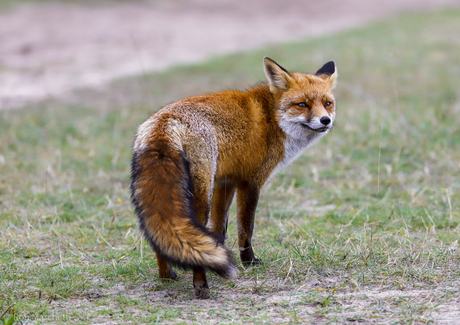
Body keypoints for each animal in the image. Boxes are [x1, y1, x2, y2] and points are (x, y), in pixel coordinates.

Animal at [130, 57, 338, 296]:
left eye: (327, 103)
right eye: (302, 104)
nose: (325, 120)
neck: (272, 117)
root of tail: (165, 122)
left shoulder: (226, 181)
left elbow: (219, 229)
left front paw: (220, 257)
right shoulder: (251, 181)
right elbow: (246, 228)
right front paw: (248, 261)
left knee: (162, 236)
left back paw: (167, 276)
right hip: (200, 196)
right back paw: (201, 286)